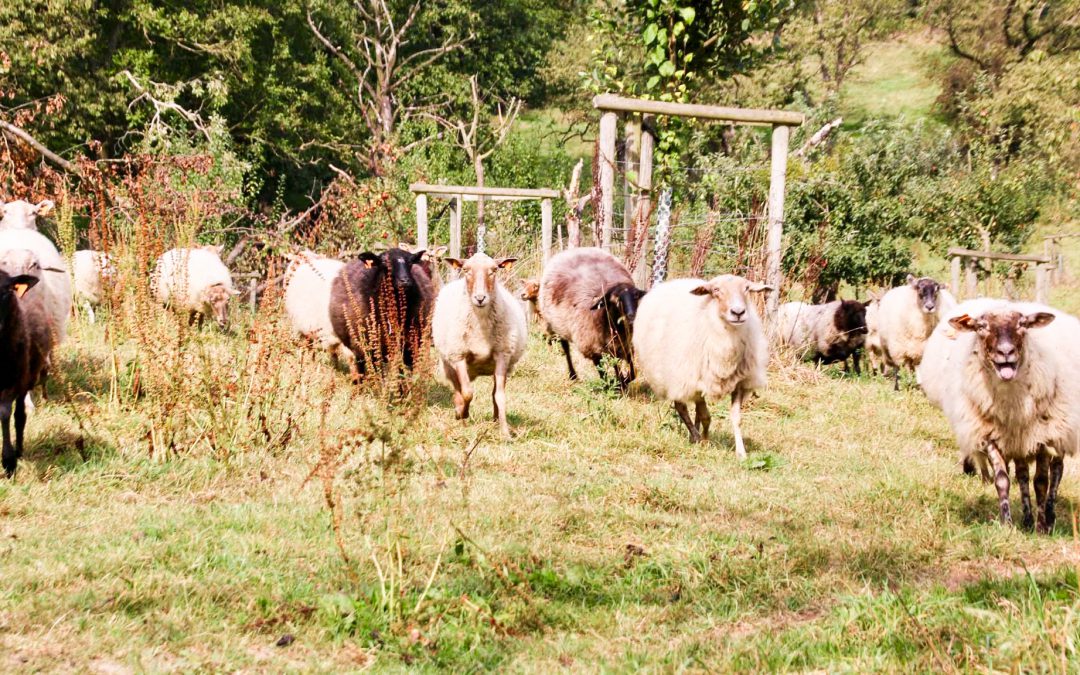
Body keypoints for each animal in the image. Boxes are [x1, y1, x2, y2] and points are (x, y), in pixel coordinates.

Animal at [326, 246, 432, 382]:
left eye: (410, 263)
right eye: (384, 264)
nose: (405, 281)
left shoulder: (409, 345)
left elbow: (403, 371)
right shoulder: (371, 346)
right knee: (360, 364)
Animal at [432, 252, 529, 436]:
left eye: (494, 270)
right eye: (466, 270)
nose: (480, 298)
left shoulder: (503, 355)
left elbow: (500, 396)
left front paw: (505, 432)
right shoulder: (459, 355)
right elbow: (467, 393)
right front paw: (462, 413)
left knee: (492, 393)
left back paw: (495, 419)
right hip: (448, 363)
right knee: (458, 389)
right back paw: (460, 415)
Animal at [630, 274, 777, 457]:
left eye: (747, 288)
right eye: (716, 290)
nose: (738, 312)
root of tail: (671, 283)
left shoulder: (739, 382)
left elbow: (736, 418)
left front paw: (741, 453)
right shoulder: (695, 380)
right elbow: (706, 416)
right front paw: (705, 442)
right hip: (676, 375)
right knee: (681, 407)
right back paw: (696, 436)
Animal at [920, 300, 1080, 531]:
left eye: (1023, 324)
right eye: (981, 326)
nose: (1006, 351)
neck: (1011, 403)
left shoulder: (1042, 437)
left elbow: (1041, 482)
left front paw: (1042, 527)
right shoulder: (990, 435)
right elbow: (1003, 480)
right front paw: (1007, 524)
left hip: (1061, 430)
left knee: (1057, 470)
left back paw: (1049, 516)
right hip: (1019, 442)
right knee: (1022, 474)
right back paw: (1027, 520)